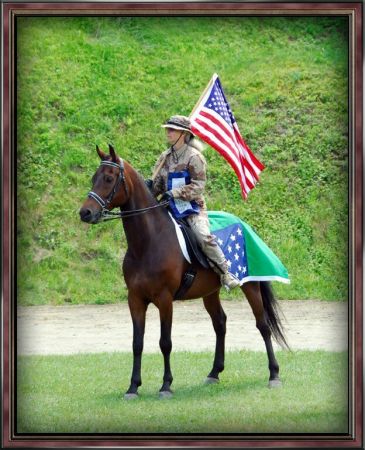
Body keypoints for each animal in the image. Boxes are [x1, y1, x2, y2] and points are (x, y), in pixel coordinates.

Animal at [79, 143, 288, 398]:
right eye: (94, 178)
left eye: (109, 179)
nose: (85, 213)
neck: (148, 242)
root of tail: (244, 223)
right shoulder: (135, 299)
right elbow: (137, 343)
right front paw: (133, 387)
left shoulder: (164, 299)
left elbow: (165, 342)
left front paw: (166, 385)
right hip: (210, 292)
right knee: (220, 323)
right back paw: (214, 373)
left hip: (250, 286)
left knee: (263, 325)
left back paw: (274, 374)